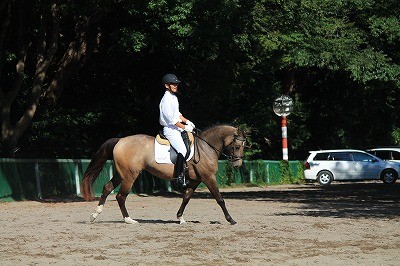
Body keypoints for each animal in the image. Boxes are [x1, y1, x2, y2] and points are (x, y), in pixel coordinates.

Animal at [81, 124, 245, 224]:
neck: (206, 147)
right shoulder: (209, 178)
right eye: (237, 146)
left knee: (107, 188)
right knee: (121, 196)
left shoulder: (196, 180)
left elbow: (186, 198)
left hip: (121, 173)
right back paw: (129, 219)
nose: (238, 164)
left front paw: (180, 218)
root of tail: (120, 140)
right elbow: (220, 199)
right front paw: (230, 219)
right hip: (129, 176)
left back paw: (95, 214)